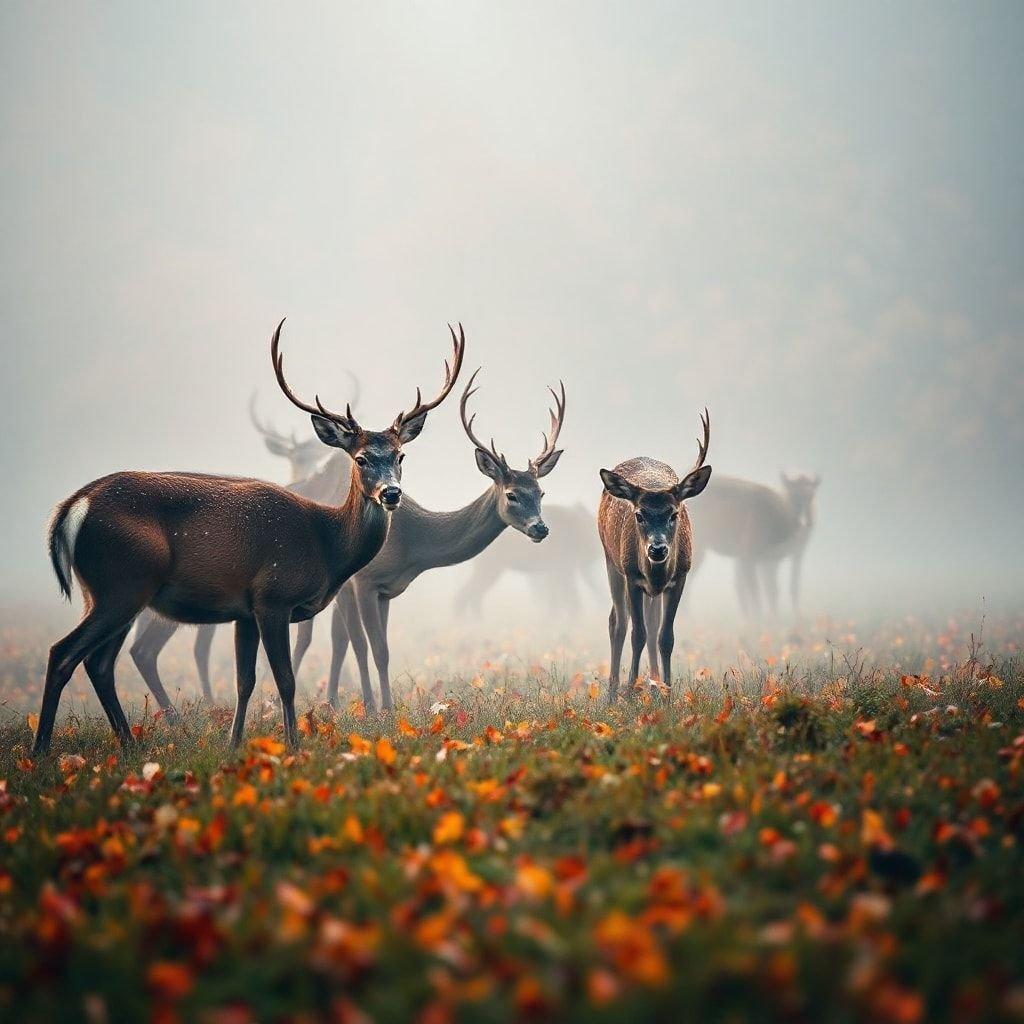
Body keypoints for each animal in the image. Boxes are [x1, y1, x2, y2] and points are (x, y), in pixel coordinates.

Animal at [32, 319, 464, 753]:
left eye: (400, 456)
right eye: (360, 458)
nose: (391, 493)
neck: (326, 545)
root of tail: (73, 506)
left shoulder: (244, 609)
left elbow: (245, 682)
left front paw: (233, 743)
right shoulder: (273, 595)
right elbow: (285, 680)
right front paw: (292, 745)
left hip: (113, 593)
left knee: (99, 663)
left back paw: (128, 744)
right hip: (122, 584)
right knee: (63, 652)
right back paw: (42, 750)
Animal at [290, 368, 569, 712]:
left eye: (541, 492)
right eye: (512, 494)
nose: (540, 528)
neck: (411, 547)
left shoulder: (385, 589)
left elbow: (380, 649)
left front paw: (383, 706)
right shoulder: (364, 581)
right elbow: (369, 647)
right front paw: (376, 709)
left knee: (334, 638)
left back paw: (330, 701)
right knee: (308, 637)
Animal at [598, 411, 712, 700]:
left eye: (674, 513)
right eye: (639, 515)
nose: (657, 549)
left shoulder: (681, 576)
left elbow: (665, 637)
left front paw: (667, 694)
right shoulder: (632, 576)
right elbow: (636, 634)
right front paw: (630, 691)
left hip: (652, 589)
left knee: (652, 624)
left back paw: (653, 685)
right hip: (611, 561)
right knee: (618, 621)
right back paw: (613, 692)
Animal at [684, 468, 819, 618]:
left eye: (812, 496)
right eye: (793, 495)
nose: (807, 521)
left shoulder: (770, 559)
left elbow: (774, 590)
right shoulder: (750, 557)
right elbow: (757, 591)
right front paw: (760, 619)